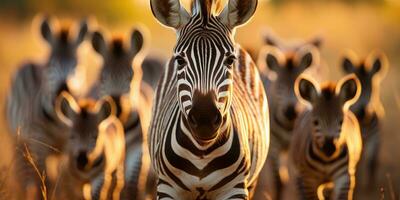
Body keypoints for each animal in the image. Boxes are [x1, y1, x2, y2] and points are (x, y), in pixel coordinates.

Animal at [5, 16, 88, 199]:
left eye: (76, 65)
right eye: (51, 64)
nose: (64, 89)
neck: (59, 119)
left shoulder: (71, 145)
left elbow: (64, 182)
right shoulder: (39, 143)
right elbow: (46, 181)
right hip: (19, 140)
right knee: (25, 175)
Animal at [149, 0, 268, 199]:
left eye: (230, 60)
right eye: (180, 60)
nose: (204, 120)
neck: (201, 153)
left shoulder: (235, 189)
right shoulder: (167, 187)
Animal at [255, 32, 324, 198]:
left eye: (301, 85)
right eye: (279, 86)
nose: (291, 112)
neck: (288, 125)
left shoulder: (299, 147)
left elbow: (300, 183)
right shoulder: (274, 145)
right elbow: (279, 181)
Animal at [340, 50, 388, 190]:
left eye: (372, 88)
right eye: (354, 90)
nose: (362, 112)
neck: (363, 122)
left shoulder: (375, 137)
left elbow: (371, 161)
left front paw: (370, 187)